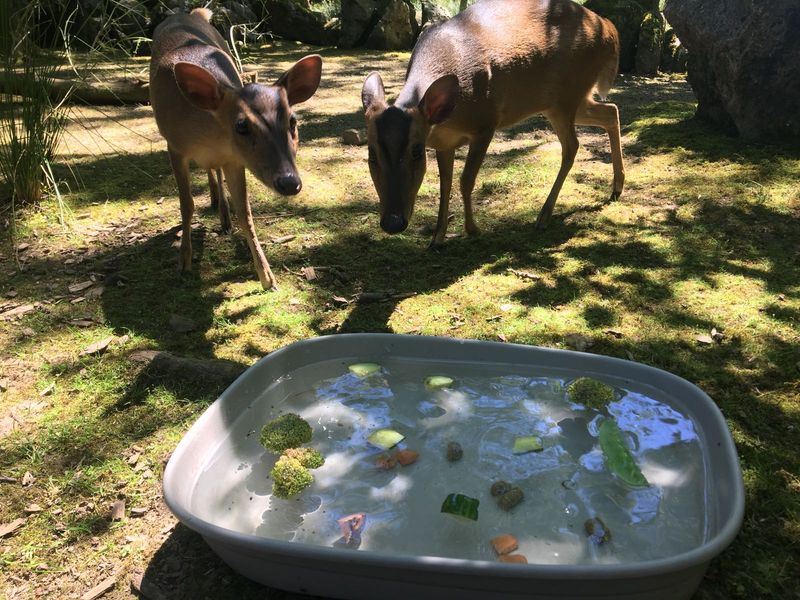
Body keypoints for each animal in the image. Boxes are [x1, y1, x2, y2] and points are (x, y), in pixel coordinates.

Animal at [150, 8, 322, 290]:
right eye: (241, 125)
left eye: (293, 121)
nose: (289, 182)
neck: (208, 137)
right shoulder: (174, 146)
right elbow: (186, 205)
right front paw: (184, 261)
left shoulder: (234, 159)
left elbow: (246, 213)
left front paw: (267, 276)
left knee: (215, 171)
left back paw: (223, 214)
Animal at [360, 0, 624, 246]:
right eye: (371, 154)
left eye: (416, 151)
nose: (393, 222)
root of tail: (610, 30)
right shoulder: (443, 142)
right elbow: (445, 184)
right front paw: (437, 238)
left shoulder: (485, 123)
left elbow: (466, 181)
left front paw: (473, 230)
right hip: (567, 100)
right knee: (611, 111)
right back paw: (616, 188)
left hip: (567, 96)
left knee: (572, 145)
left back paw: (544, 215)